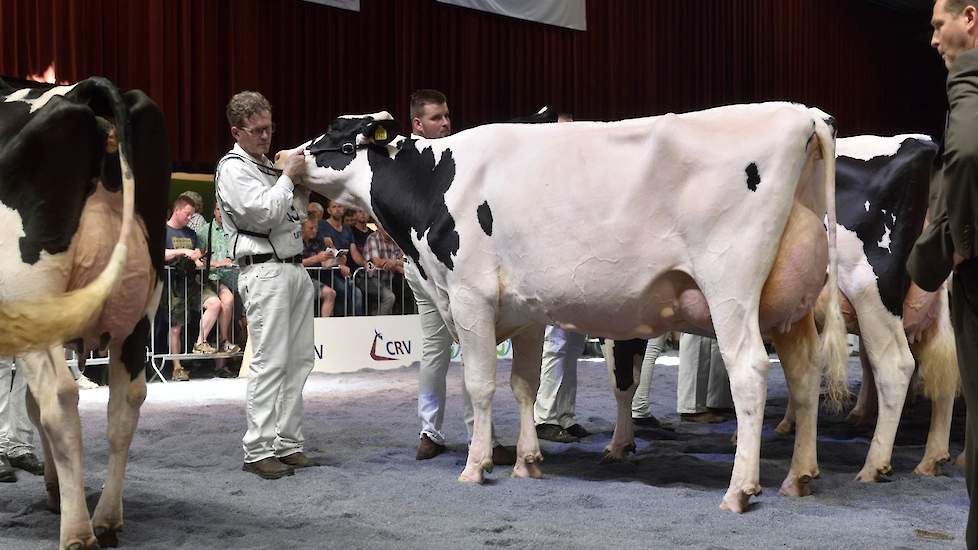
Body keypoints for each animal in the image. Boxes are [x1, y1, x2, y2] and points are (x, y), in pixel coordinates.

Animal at [0, 75, 168, 548]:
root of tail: (83, 93)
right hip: (139, 311)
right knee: (126, 403)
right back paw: (106, 519)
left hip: (31, 301)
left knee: (59, 400)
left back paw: (77, 531)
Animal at [288, 105, 848, 516]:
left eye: (338, 137)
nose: (285, 154)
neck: (436, 183)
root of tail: (801, 115)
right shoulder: (525, 310)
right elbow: (525, 385)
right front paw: (527, 462)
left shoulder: (469, 295)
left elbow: (479, 385)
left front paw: (477, 466)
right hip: (791, 304)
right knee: (804, 375)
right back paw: (799, 476)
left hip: (730, 288)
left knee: (750, 372)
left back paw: (739, 490)